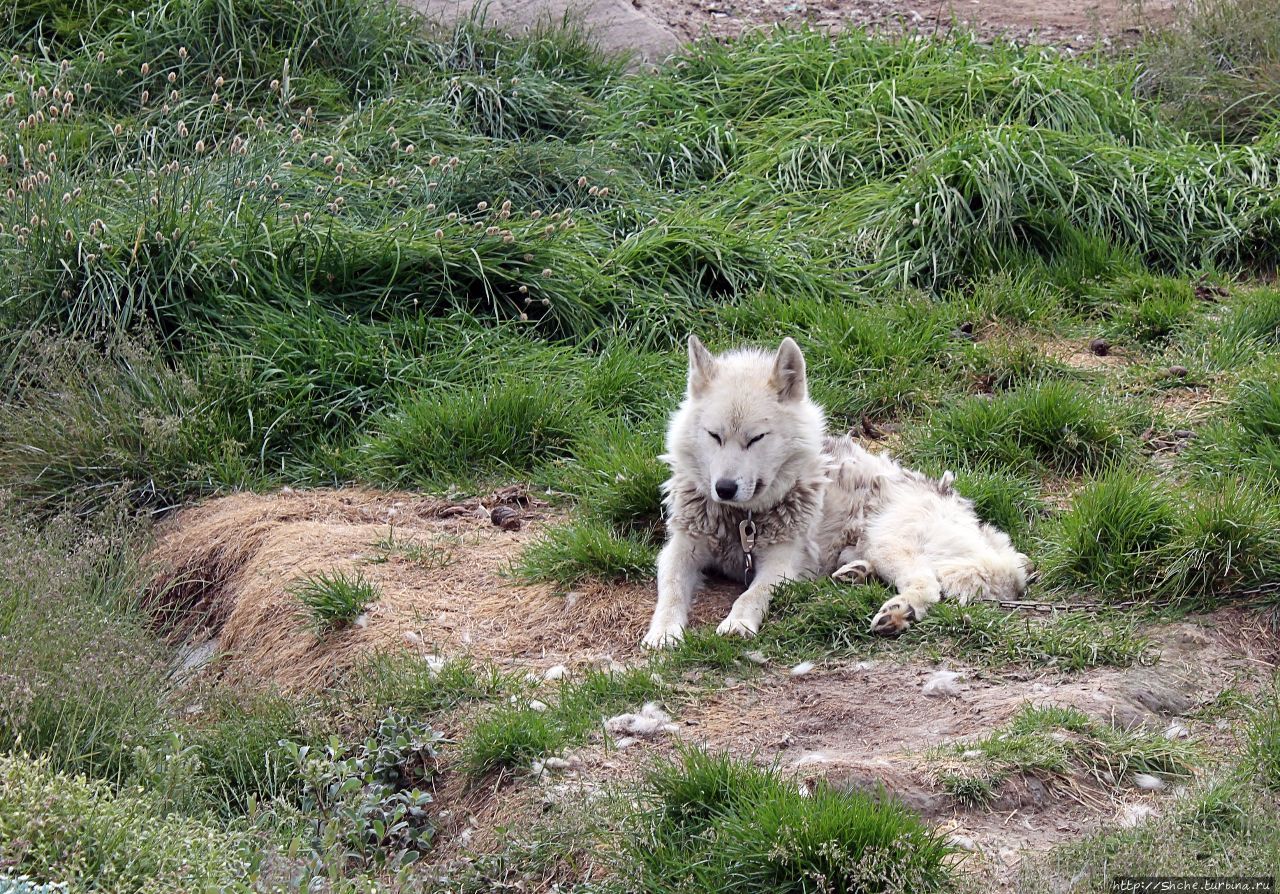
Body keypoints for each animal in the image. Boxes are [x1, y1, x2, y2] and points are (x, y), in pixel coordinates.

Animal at [640, 333, 1029, 648]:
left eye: (755, 438)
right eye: (714, 436)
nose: (724, 488)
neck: (742, 521)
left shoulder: (781, 563)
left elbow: (751, 594)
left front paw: (737, 623)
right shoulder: (680, 549)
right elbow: (670, 591)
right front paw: (662, 633)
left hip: (886, 538)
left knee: (928, 584)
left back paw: (898, 612)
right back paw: (856, 574)